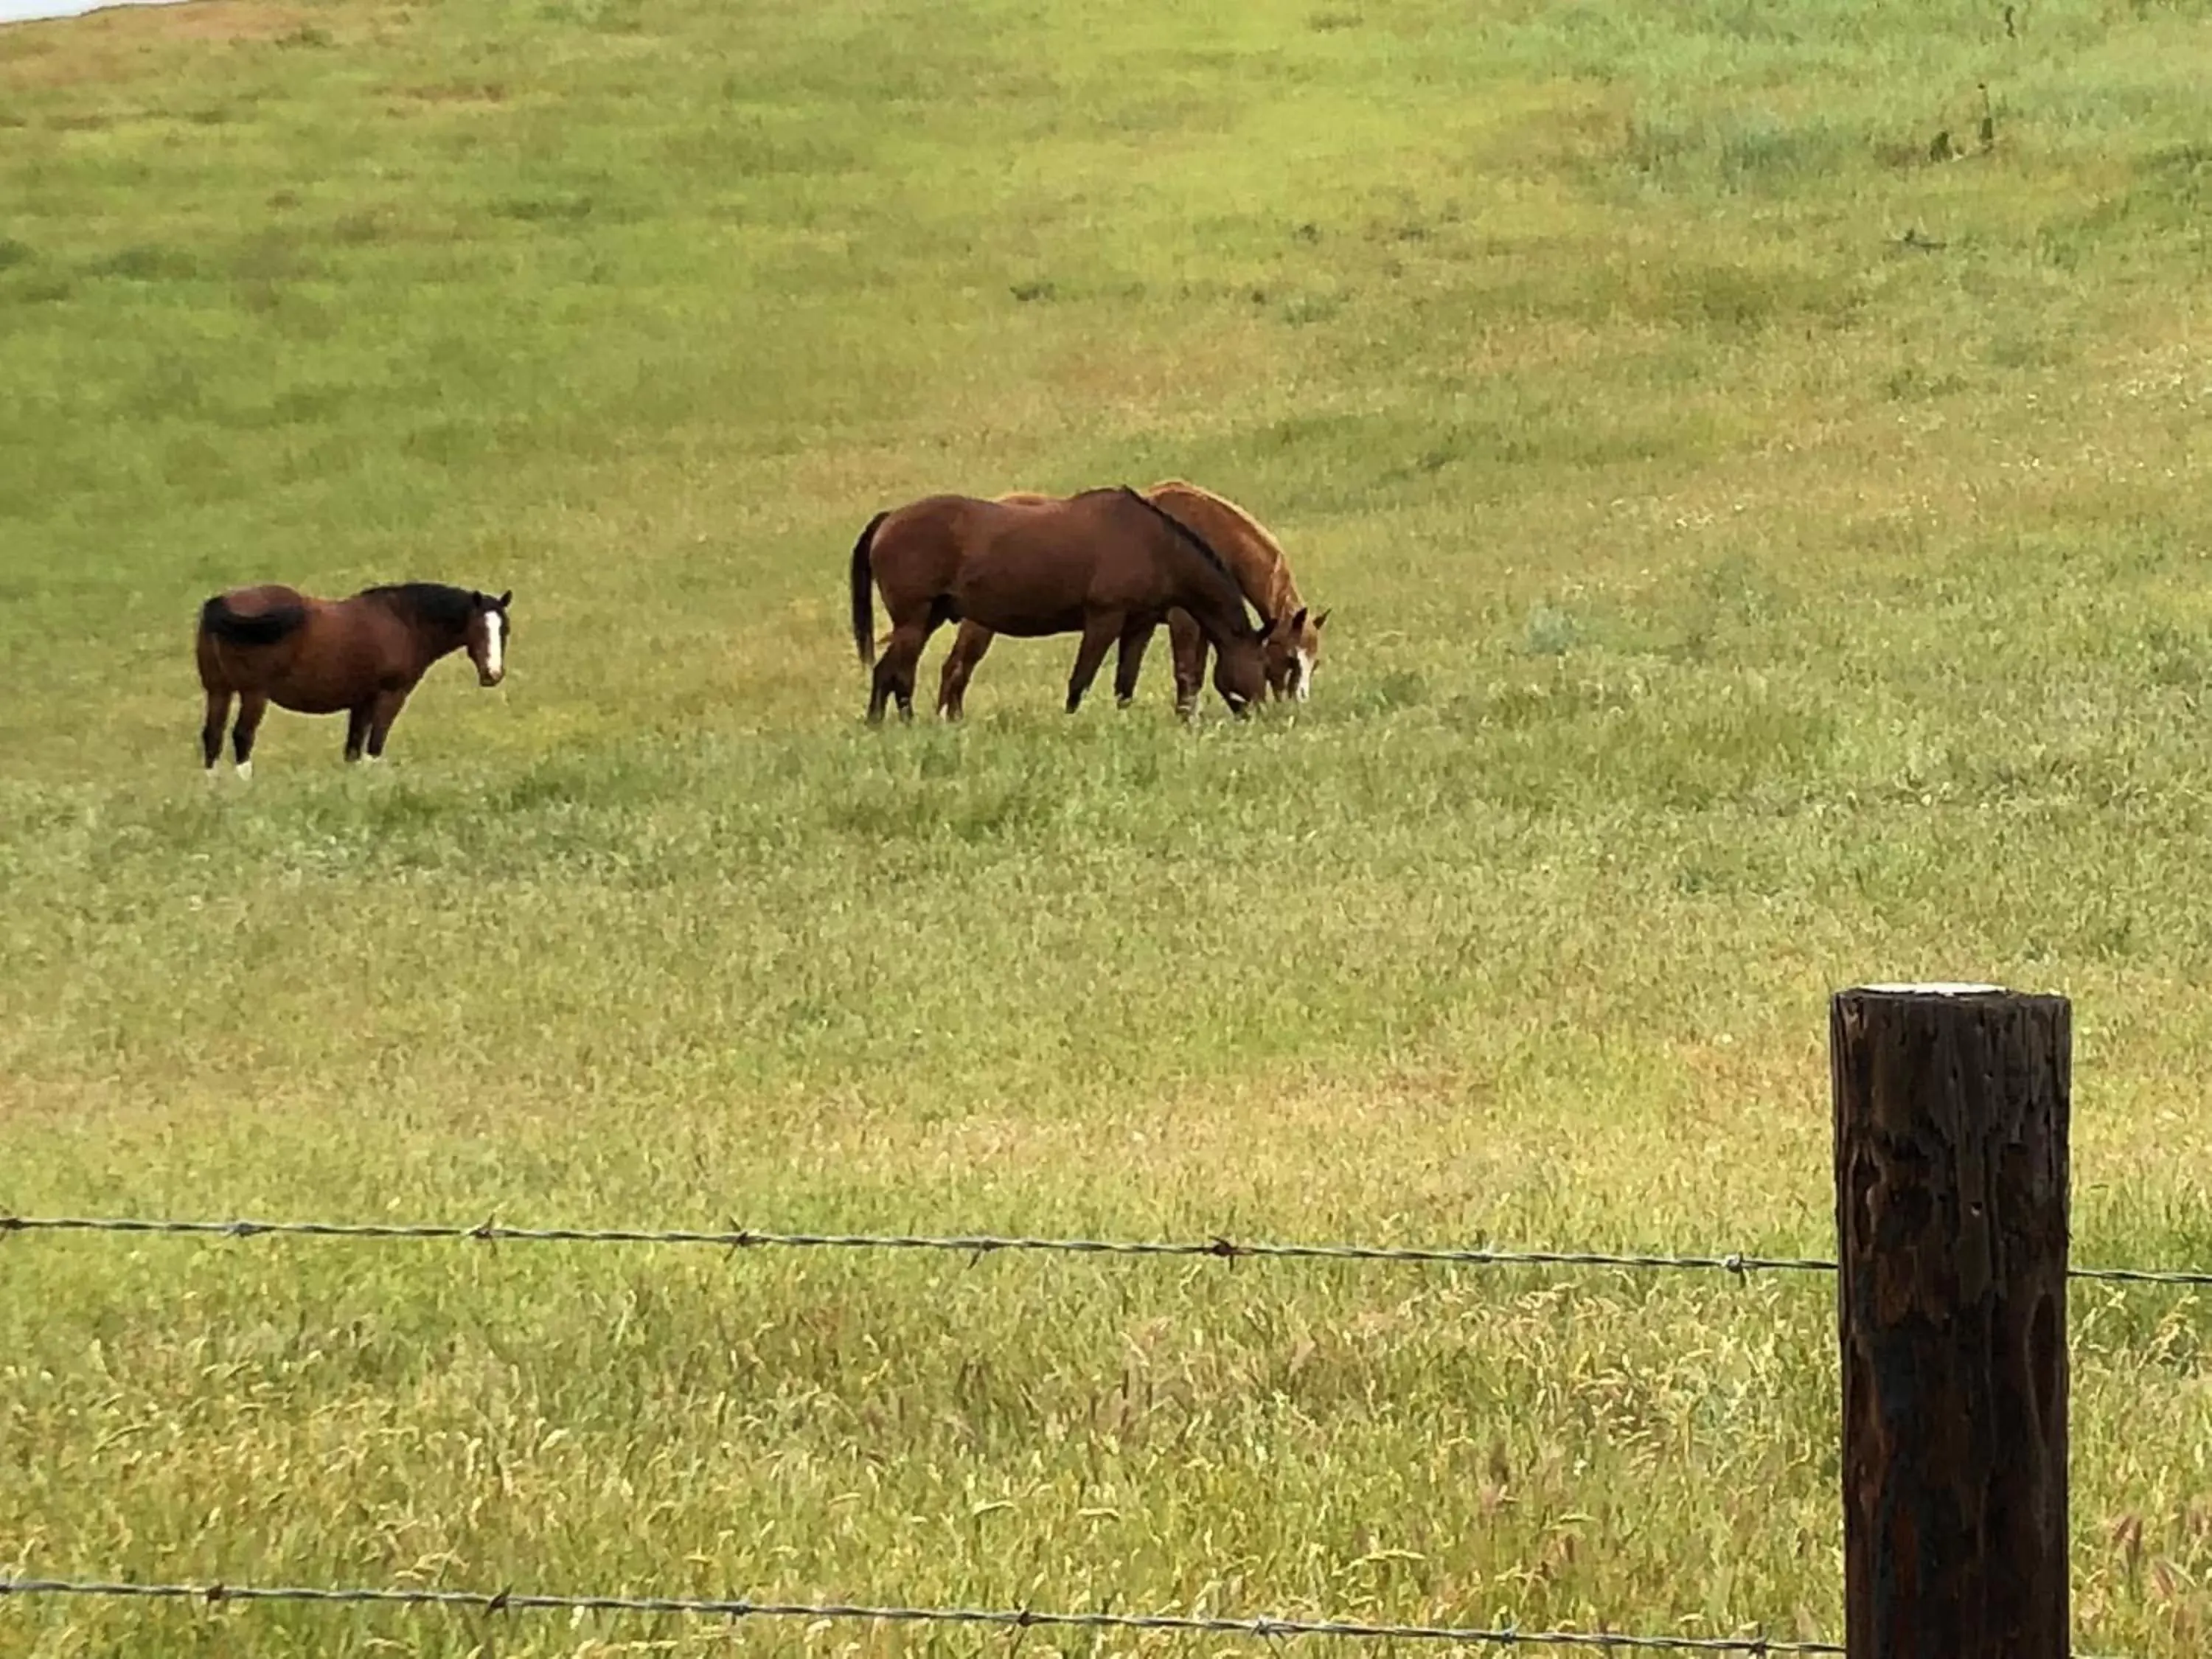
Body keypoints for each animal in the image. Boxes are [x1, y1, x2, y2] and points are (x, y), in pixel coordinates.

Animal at [195, 580, 513, 779]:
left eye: (504, 630)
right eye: (478, 628)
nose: (493, 675)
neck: (404, 621)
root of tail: (220, 603)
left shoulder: (362, 701)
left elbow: (353, 749)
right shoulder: (390, 695)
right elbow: (374, 745)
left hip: (218, 691)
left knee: (212, 736)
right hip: (254, 694)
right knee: (242, 736)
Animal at [845, 484, 1274, 726]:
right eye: (1261, 667)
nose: (1261, 716)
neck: (1153, 544)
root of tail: (890, 519)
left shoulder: (1139, 625)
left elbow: (1125, 684)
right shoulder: (1104, 619)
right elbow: (1080, 680)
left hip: (927, 619)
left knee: (897, 673)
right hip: (914, 620)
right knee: (893, 673)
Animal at [938, 478, 1327, 717]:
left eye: (1316, 662)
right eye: (1289, 659)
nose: (1294, 707)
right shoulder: (1183, 621)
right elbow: (1187, 675)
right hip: (979, 624)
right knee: (958, 667)